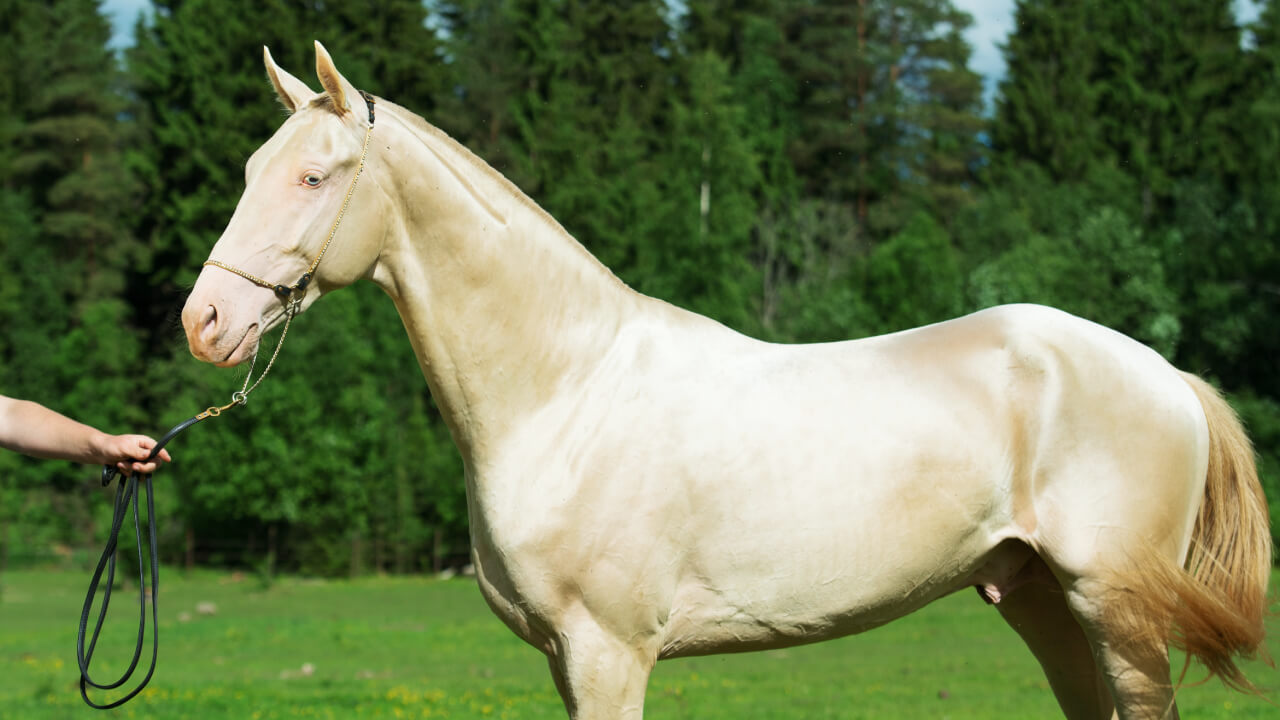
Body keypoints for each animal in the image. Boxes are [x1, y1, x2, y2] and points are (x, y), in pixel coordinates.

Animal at [181, 42, 1272, 719]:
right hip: (1041, 601)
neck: (564, 392)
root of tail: (1166, 375)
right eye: (249, 169)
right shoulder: (562, 658)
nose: (205, 322)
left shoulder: (608, 652)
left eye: (314, 177)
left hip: (1115, 610)